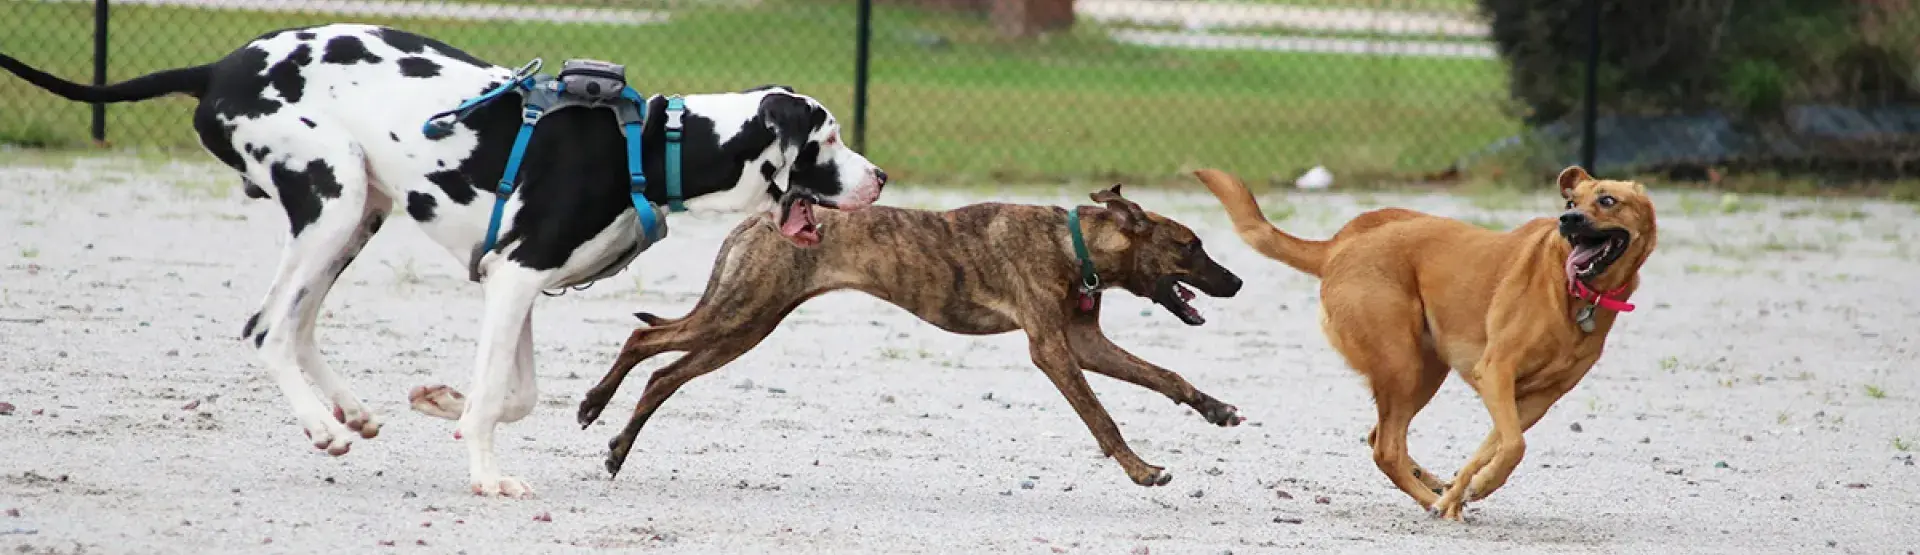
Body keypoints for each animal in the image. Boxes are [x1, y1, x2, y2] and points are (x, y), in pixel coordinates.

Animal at [0, 22, 883, 495]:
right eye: (831, 138)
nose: (879, 177)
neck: (648, 148)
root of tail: (219, 67)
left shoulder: (515, 283)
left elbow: (516, 393)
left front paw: (442, 401)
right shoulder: (516, 277)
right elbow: (499, 392)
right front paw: (487, 473)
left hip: (356, 215)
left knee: (299, 323)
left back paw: (347, 409)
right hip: (331, 198)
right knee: (266, 327)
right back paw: (321, 426)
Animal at [576, 184, 1251, 483]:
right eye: (1190, 246)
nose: (1240, 282)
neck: (1074, 245)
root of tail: (758, 220)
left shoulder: (1085, 344)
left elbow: (1165, 375)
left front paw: (1215, 409)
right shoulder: (1053, 350)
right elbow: (1102, 417)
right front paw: (1141, 469)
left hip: (746, 326)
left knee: (665, 375)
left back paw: (617, 448)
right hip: (737, 315)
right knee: (644, 345)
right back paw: (592, 406)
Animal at [1198, 165, 1651, 518]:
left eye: (1607, 200)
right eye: (1572, 201)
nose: (1567, 219)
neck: (1577, 293)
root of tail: (1339, 245)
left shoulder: (1535, 398)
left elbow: (1492, 449)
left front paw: (1464, 490)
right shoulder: (1496, 373)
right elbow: (1513, 447)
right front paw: (1466, 494)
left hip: (1426, 370)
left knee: (1380, 438)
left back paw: (1434, 486)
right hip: (1402, 366)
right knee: (1386, 449)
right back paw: (1427, 496)